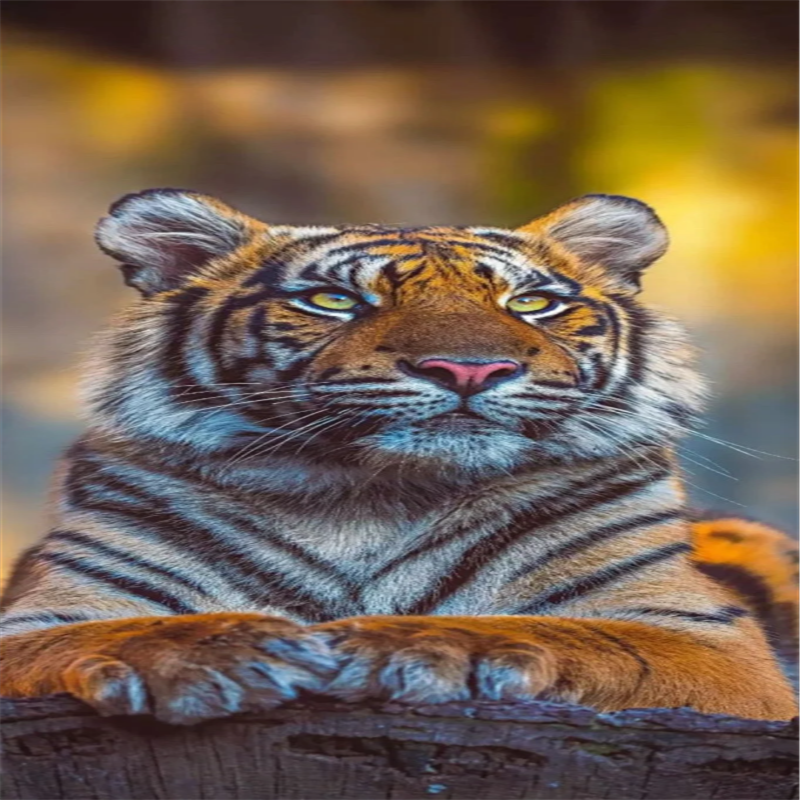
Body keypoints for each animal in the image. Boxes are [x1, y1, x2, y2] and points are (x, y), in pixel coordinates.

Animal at [0, 189, 796, 725]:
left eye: (531, 303)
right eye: (333, 300)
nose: (470, 368)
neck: (371, 496)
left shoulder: (703, 639)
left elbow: (560, 630)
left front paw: (393, 644)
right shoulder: (47, 615)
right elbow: (129, 627)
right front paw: (227, 649)